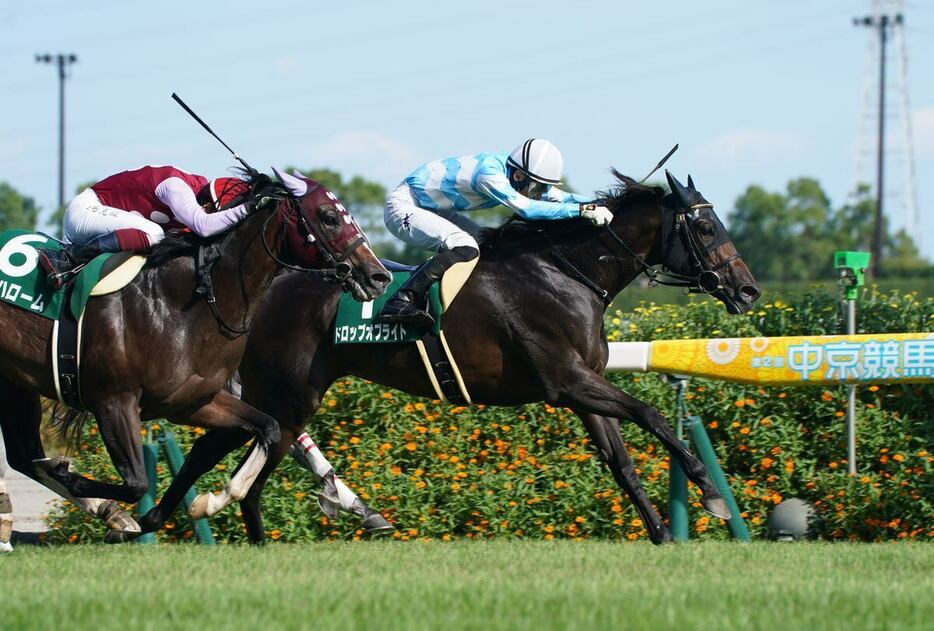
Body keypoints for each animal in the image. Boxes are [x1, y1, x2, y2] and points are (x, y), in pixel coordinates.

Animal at [0, 169, 392, 540]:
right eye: (328, 216)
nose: (379, 276)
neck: (182, 303)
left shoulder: (192, 401)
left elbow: (266, 429)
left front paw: (211, 500)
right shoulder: (114, 400)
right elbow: (136, 483)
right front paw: (76, 479)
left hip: (17, 384)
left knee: (22, 456)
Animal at [143, 170, 764, 544]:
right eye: (706, 224)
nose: (749, 289)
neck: (566, 272)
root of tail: (262, 286)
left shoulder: (582, 388)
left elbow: (623, 461)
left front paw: (661, 532)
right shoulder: (566, 380)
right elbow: (652, 415)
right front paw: (710, 494)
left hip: (285, 395)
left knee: (235, 446)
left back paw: (187, 522)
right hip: (289, 392)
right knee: (250, 449)